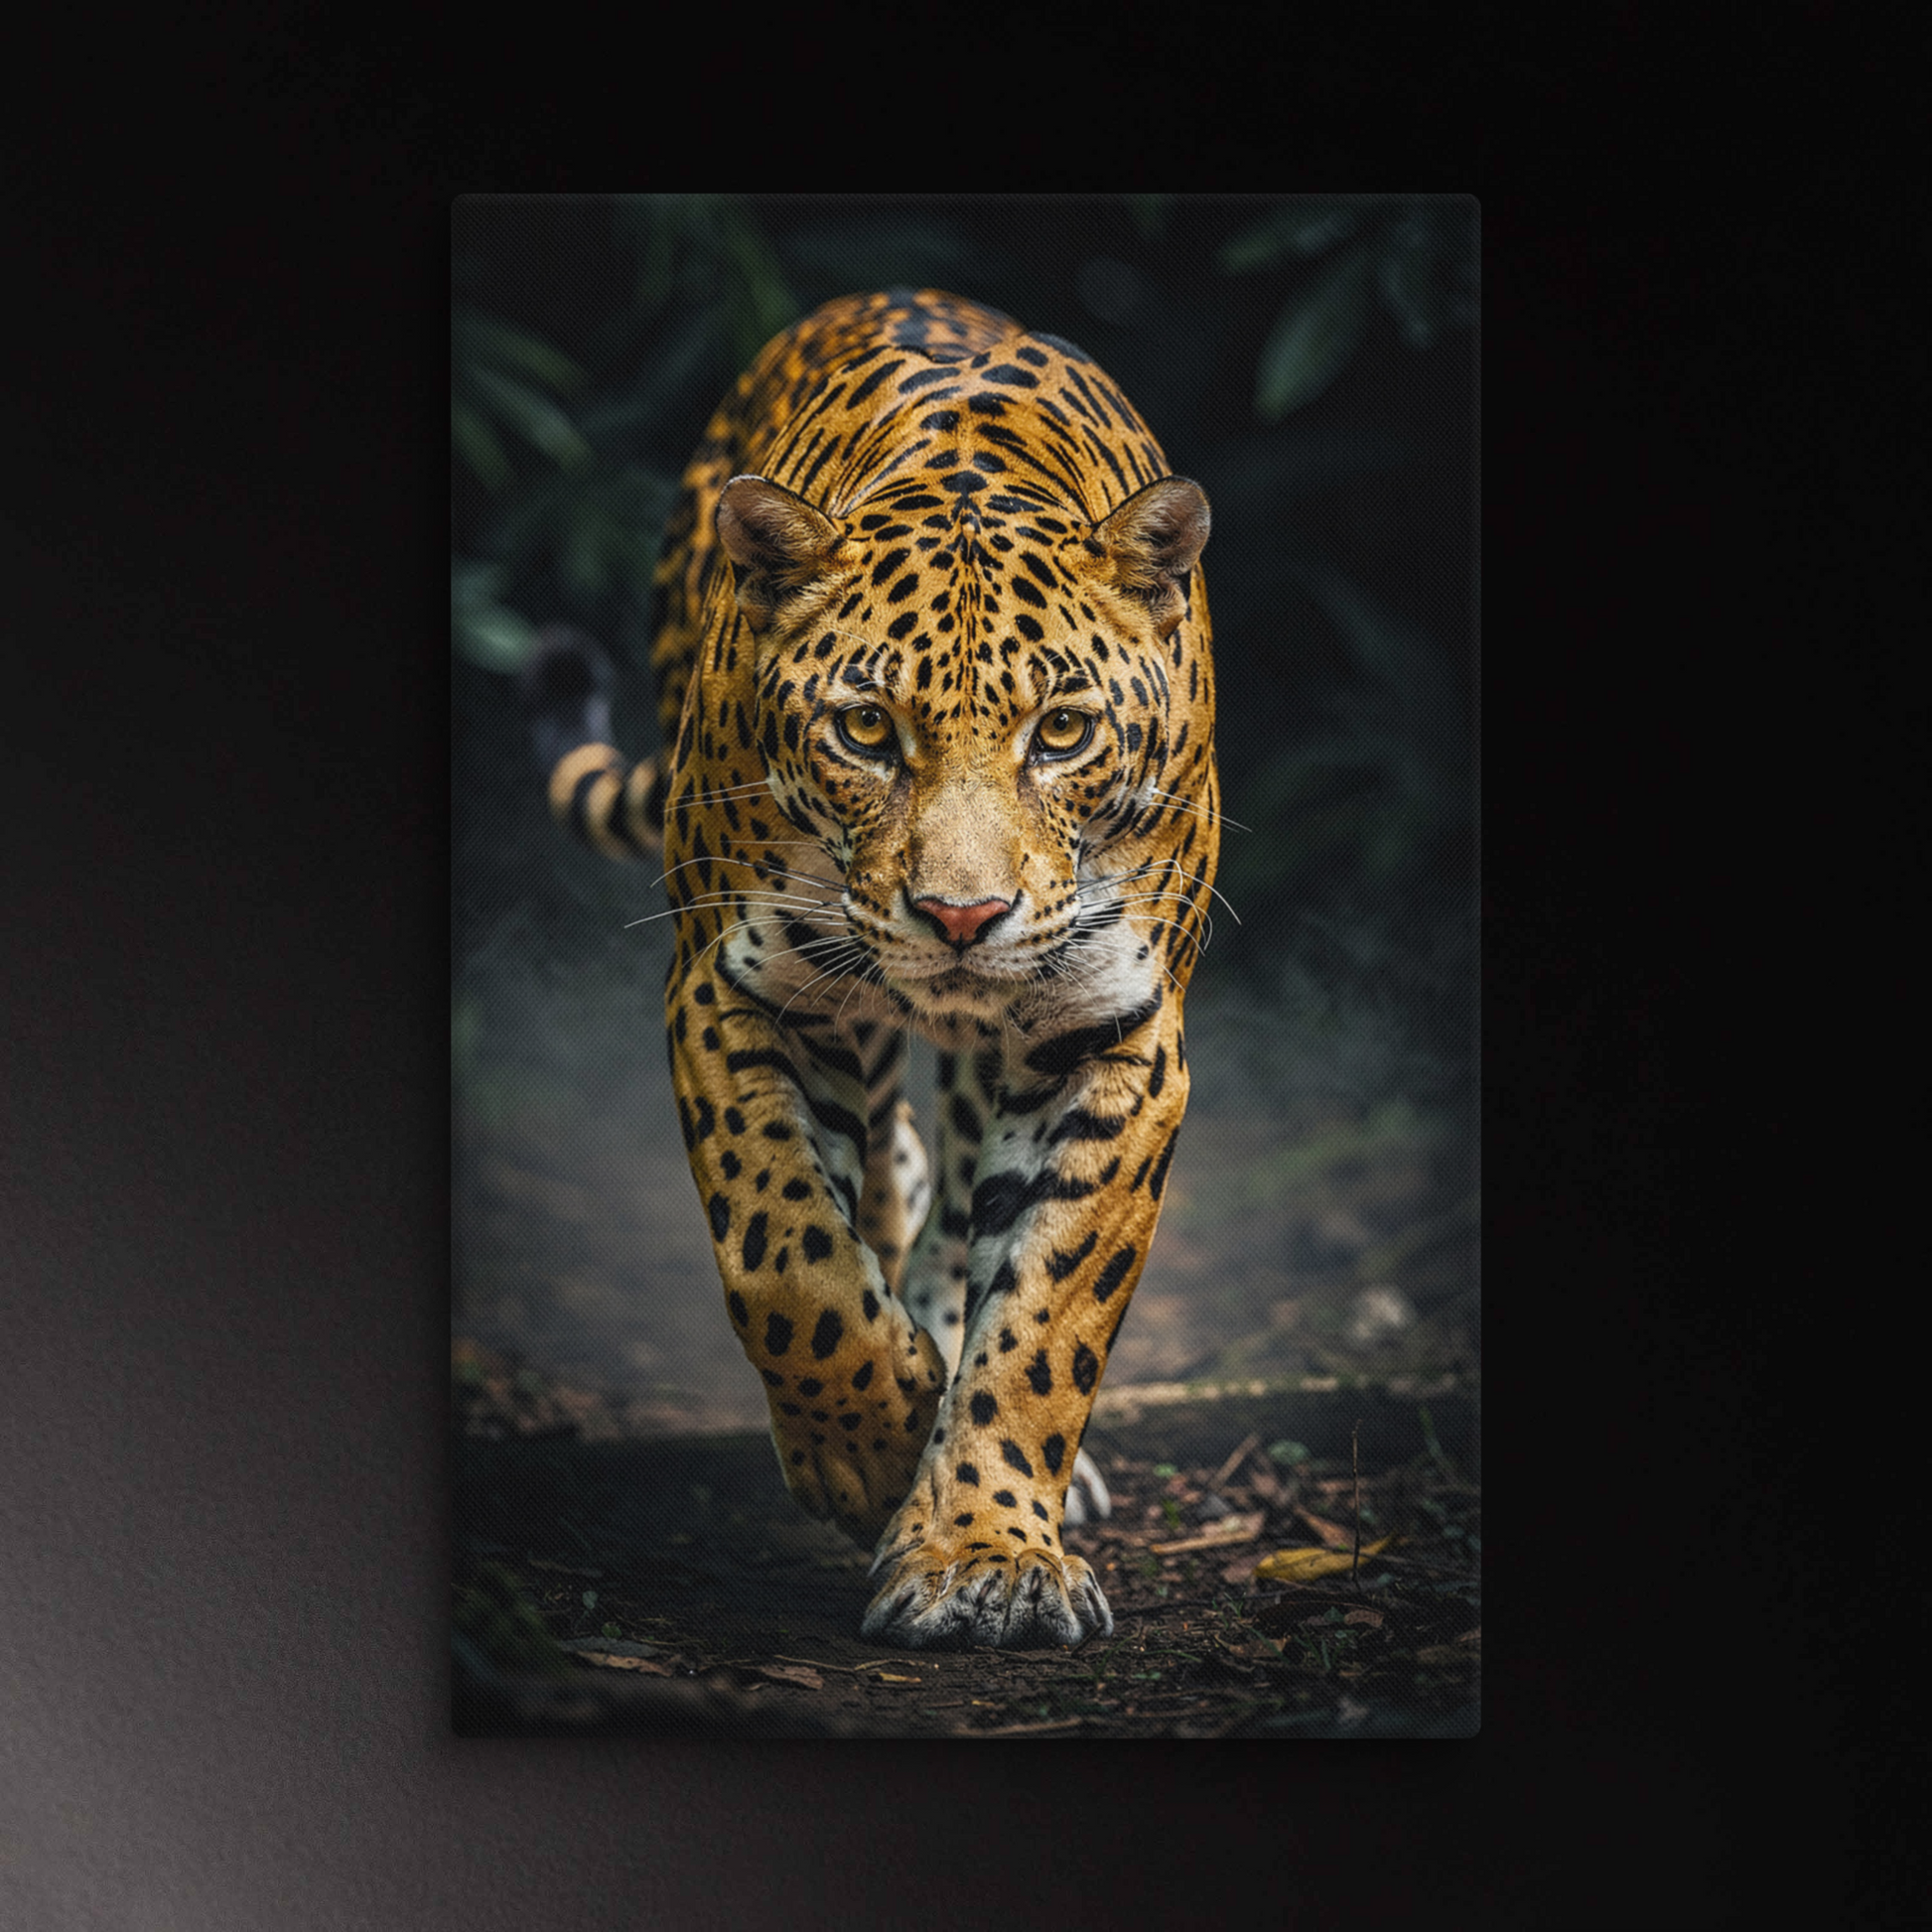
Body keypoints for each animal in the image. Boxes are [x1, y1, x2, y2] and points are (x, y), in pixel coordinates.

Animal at [522, 288, 1219, 1648]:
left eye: (1062, 731)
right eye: (862, 728)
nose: (962, 915)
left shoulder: (1117, 1029)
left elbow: (1047, 1308)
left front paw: (982, 1549)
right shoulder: (732, 988)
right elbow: (785, 1255)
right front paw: (869, 1451)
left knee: (952, 1209)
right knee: (890, 1188)